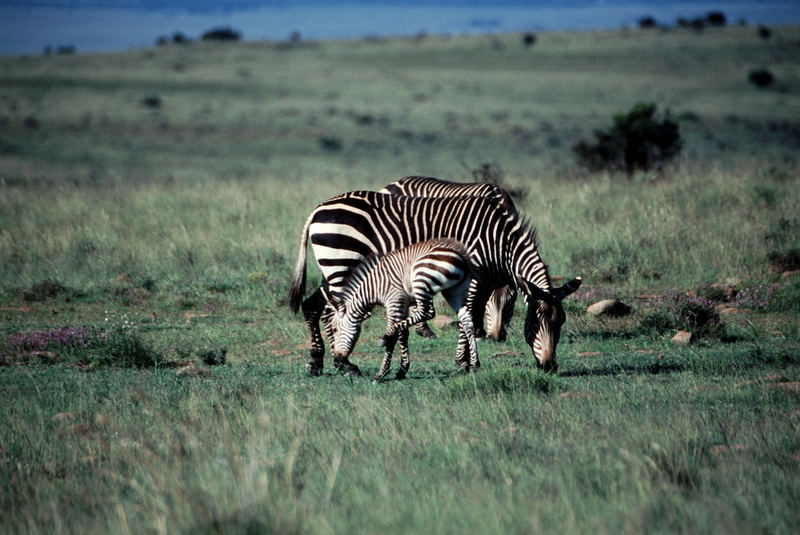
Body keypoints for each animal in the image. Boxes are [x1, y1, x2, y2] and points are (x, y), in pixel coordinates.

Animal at [330, 240, 476, 386]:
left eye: (335, 329)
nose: (337, 358)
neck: (373, 287)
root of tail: (461, 255)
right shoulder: (404, 304)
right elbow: (403, 334)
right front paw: (402, 370)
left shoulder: (394, 301)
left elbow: (394, 337)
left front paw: (381, 374)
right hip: (455, 291)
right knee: (467, 320)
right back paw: (474, 365)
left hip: (421, 279)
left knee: (428, 312)